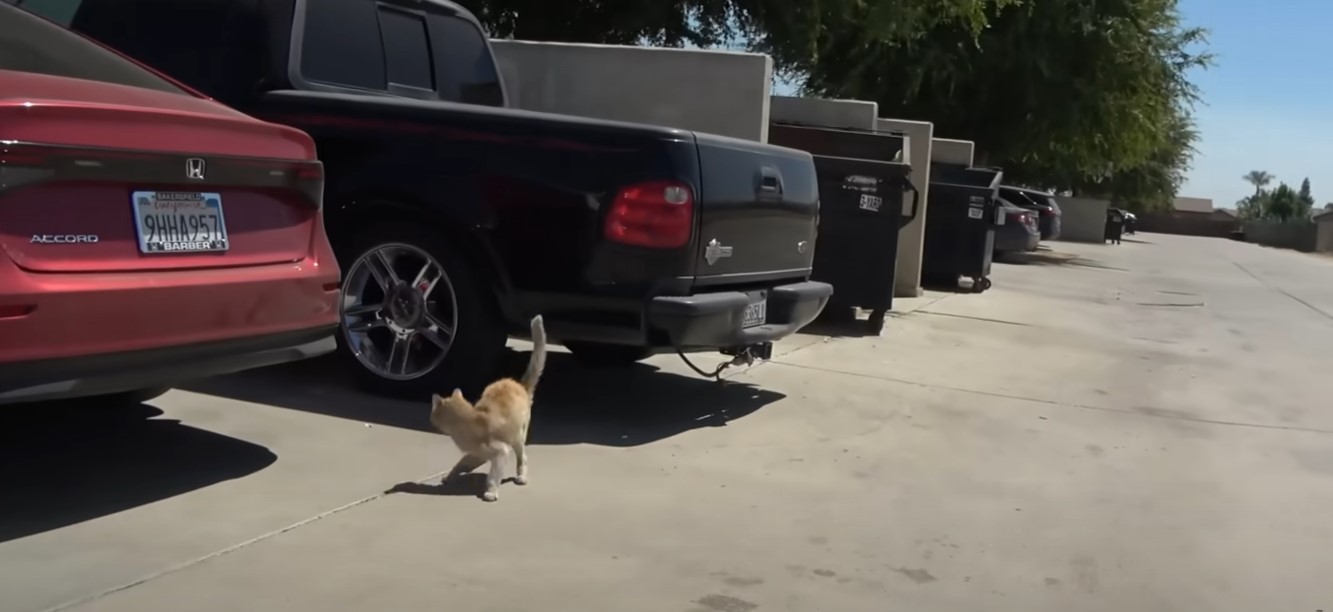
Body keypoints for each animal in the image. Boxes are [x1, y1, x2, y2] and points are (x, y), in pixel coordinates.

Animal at [431, 316, 546, 504]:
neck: (469, 420)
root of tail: (520, 385)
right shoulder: (476, 453)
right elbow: (461, 464)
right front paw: (449, 476)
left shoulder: (500, 451)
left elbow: (493, 476)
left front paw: (491, 491)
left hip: (518, 436)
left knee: (522, 456)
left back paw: (521, 476)